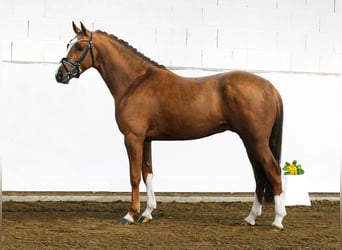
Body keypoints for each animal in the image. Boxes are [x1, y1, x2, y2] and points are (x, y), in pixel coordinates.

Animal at [55, 22, 286, 229]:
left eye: (79, 47)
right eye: (68, 44)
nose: (59, 75)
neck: (135, 82)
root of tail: (270, 87)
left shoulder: (132, 138)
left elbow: (133, 176)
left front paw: (130, 214)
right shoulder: (146, 139)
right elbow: (147, 174)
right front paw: (147, 213)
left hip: (256, 140)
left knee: (273, 170)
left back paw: (277, 220)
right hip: (250, 141)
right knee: (259, 174)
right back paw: (251, 218)